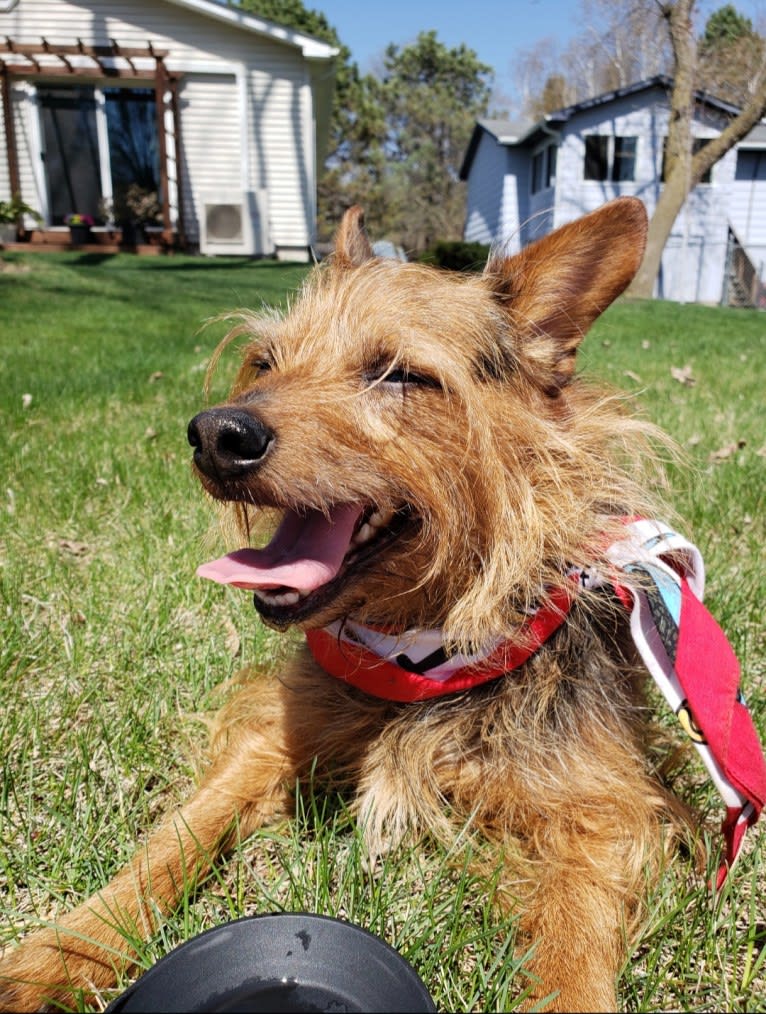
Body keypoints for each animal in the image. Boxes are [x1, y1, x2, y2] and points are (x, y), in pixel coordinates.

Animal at [0, 199, 750, 1014]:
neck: (421, 651)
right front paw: (55, 956)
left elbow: (574, 946)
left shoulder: (601, 813)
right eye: (265, 363)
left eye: (399, 375)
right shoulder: (270, 744)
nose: (216, 434)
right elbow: (169, 843)